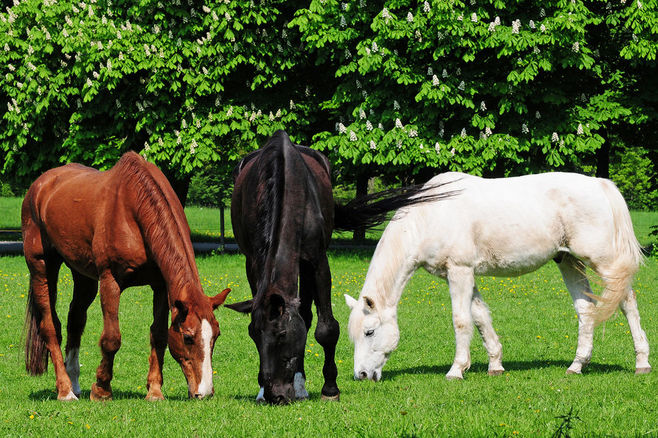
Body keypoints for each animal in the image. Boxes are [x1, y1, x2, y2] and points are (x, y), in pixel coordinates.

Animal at [22, 152, 230, 401]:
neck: (132, 210)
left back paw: (74, 382)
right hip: (41, 267)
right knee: (50, 326)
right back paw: (65, 390)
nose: (205, 392)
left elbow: (159, 335)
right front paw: (102, 389)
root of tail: (40, 185)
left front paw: (155, 391)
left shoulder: (160, 286)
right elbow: (111, 338)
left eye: (216, 336)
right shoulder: (110, 281)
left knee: (75, 320)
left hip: (83, 275)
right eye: (188, 337)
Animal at [225, 130, 453, 404]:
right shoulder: (253, 263)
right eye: (253, 335)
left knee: (307, 316)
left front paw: (330, 389)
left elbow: (327, 329)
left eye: (281, 334)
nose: (274, 395)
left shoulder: (317, 261)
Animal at [345, 171, 650, 382]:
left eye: (369, 331)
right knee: (585, 309)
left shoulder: (460, 271)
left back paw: (642, 363)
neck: (430, 216)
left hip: (604, 263)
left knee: (627, 303)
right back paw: (576, 365)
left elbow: (461, 320)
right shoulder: (461, 275)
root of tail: (600, 184)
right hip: (569, 262)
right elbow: (480, 317)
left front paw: (456, 370)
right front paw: (495, 365)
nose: (361, 375)